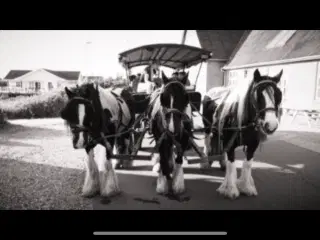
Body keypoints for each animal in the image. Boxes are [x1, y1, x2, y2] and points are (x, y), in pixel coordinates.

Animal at [202, 68, 282, 200]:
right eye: (257, 95)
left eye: (279, 95)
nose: (271, 125)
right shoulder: (230, 143)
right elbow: (232, 164)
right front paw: (230, 189)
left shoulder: (253, 145)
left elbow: (247, 164)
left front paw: (246, 186)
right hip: (207, 128)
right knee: (207, 142)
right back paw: (205, 162)